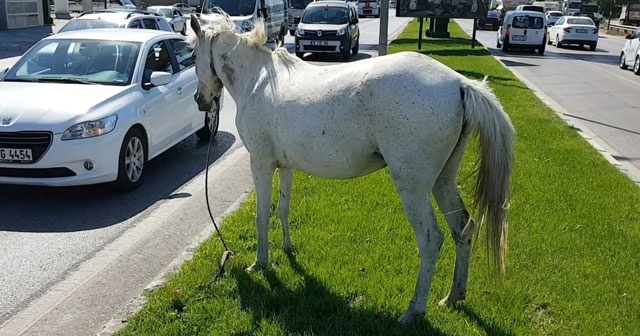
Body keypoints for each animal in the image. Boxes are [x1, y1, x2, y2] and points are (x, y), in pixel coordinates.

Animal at [189, 13, 516, 322]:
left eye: (192, 55)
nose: (200, 101)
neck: (256, 78)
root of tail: (460, 84)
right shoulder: (286, 166)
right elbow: (283, 209)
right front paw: (288, 249)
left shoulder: (260, 163)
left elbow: (261, 216)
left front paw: (260, 263)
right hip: (443, 179)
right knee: (463, 228)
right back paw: (453, 297)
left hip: (413, 186)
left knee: (431, 239)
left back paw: (413, 311)